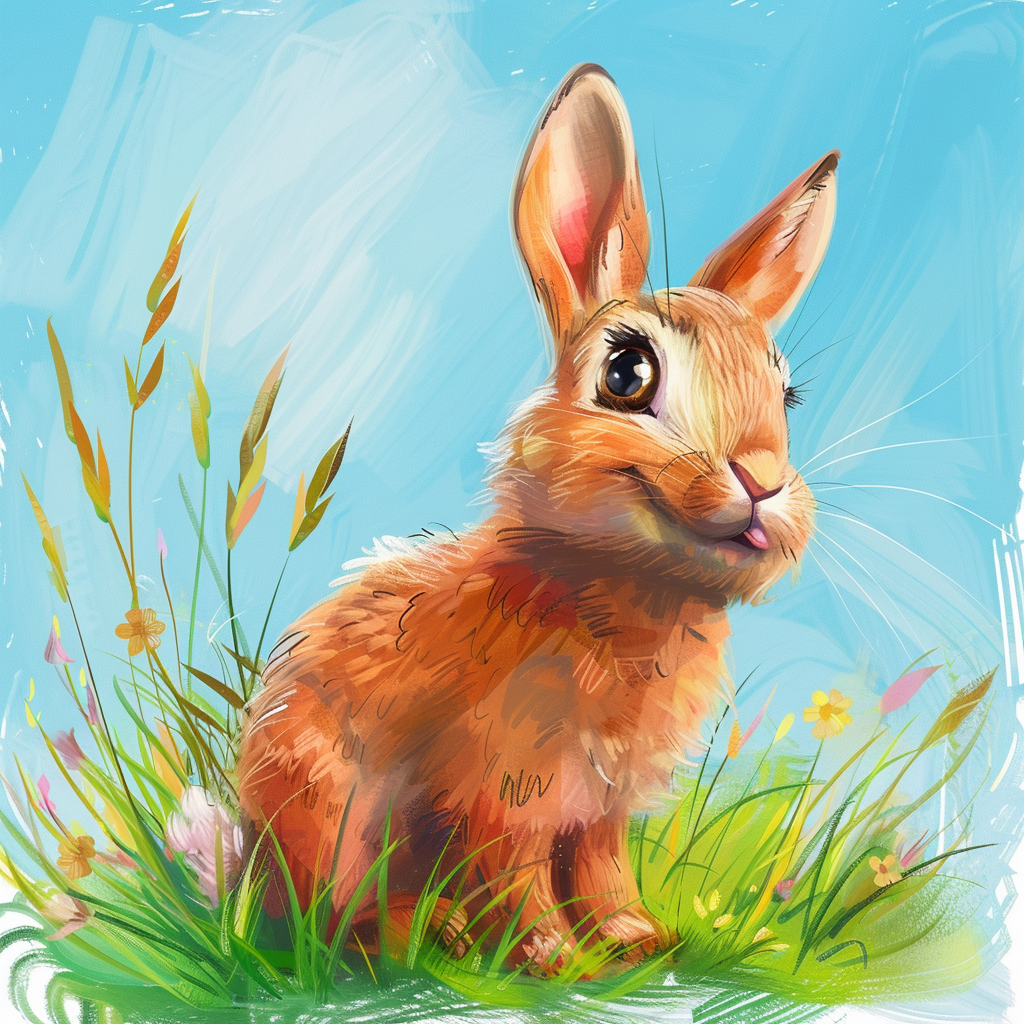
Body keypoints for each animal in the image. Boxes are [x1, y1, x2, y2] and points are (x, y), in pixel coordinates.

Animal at [238, 62, 837, 966]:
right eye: (626, 373)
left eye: (787, 394)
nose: (764, 481)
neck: (619, 594)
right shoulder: (501, 785)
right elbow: (516, 872)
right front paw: (552, 957)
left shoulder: (603, 804)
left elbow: (601, 865)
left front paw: (635, 940)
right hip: (325, 808)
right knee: (334, 915)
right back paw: (422, 931)